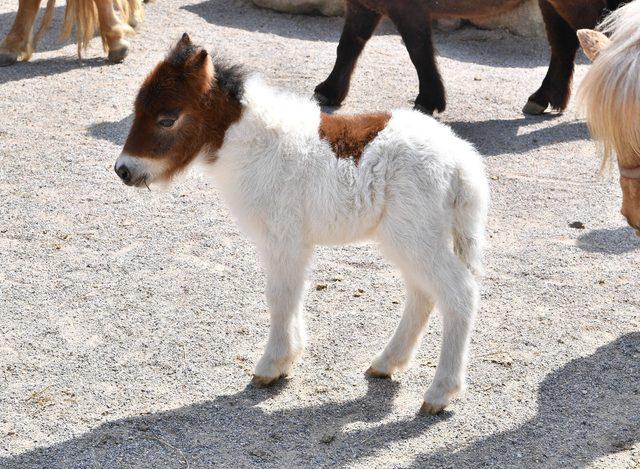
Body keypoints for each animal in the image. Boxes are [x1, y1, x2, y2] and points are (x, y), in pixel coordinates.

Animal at [115, 33, 490, 414]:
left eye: (167, 119)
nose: (123, 170)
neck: (253, 145)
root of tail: (462, 161)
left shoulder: (283, 238)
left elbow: (280, 295)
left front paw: (271, 365)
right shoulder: (292, 243)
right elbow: (292, 294)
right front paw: (288, 360)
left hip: (414, 237)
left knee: (458, 294)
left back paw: (440, 392)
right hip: (410, 239)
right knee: (422, 294)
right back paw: (387, 363)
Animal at [316, 0, 624, 114]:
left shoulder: (408, 9)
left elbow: (418, 51)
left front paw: (429, 101)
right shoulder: (364, 4)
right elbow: (348, 45)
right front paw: (329, 92)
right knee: (563, 45)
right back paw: (543, 98)